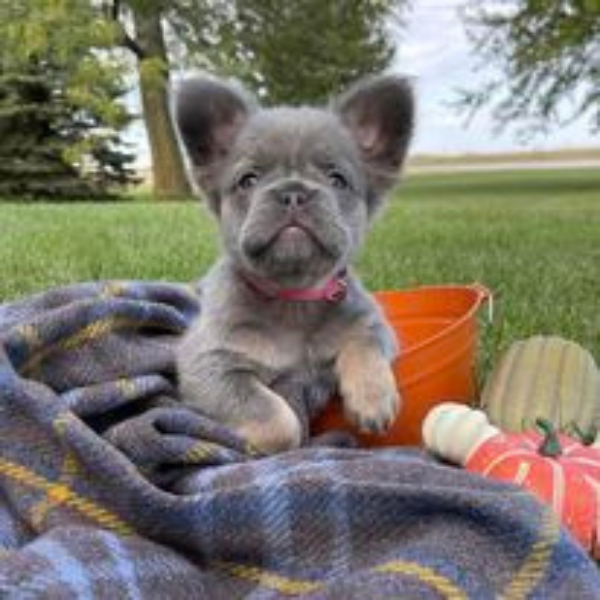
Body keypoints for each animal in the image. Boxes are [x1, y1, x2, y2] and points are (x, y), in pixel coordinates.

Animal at [176, 75, 414, 452]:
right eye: (248, 180)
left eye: (336, 180)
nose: (293, 192)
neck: (293, 296)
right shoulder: (208, 365)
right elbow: (275, 417)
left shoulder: (373, 324)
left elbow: (364, 343)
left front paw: (372, 397)